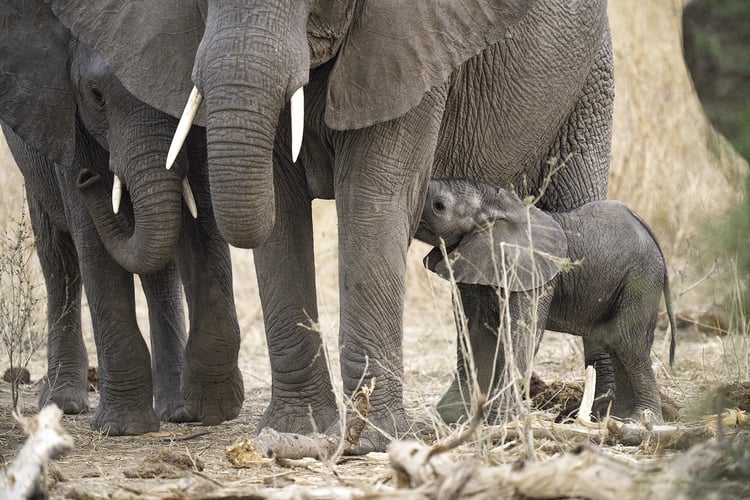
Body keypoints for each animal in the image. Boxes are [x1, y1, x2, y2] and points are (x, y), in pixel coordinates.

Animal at [0, 0, 242, 434]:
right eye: (97, 97)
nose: (90, 179)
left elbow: (200, 215)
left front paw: (207, 407)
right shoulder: (65, 109)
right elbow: (91, 242)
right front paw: (122, 427)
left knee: (158, 272)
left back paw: (176, 409)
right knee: (58, 257)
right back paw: (63, 402)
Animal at [51, 0, 616, 452]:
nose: (84, 176)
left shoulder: (411, 47)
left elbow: (374, 197)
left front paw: (374, 441)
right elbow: (280, 204)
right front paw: (295, 433)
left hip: (590, 84)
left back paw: (549, 416)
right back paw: (460, 416)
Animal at [414, 178, 680, 424]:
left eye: (439, 206)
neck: (498, 205)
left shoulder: (533, 271)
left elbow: (521, 338)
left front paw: (497, 421)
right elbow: (483, 334)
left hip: (641, 278)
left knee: (628, 342)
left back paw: (641, 421)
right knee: (614, 341)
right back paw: (615, 418)